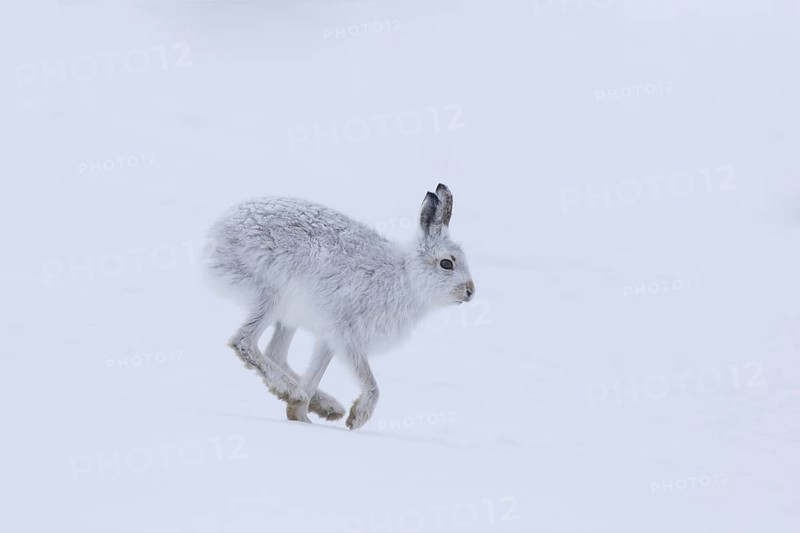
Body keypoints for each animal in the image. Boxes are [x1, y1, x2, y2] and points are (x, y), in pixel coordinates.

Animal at [204, 183, 475, 429]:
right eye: (447, 263)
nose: (471, 292)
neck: (407, 278)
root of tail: (218, 234)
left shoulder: (329, 338)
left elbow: (316, 372)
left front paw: (301, 417)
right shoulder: (346, 333)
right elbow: (370, 382)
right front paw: (356, 418)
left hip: (288, 316)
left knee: (275, 353)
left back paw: (324, 404)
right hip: (272, 295)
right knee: (244, 342)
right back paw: (294, 392)